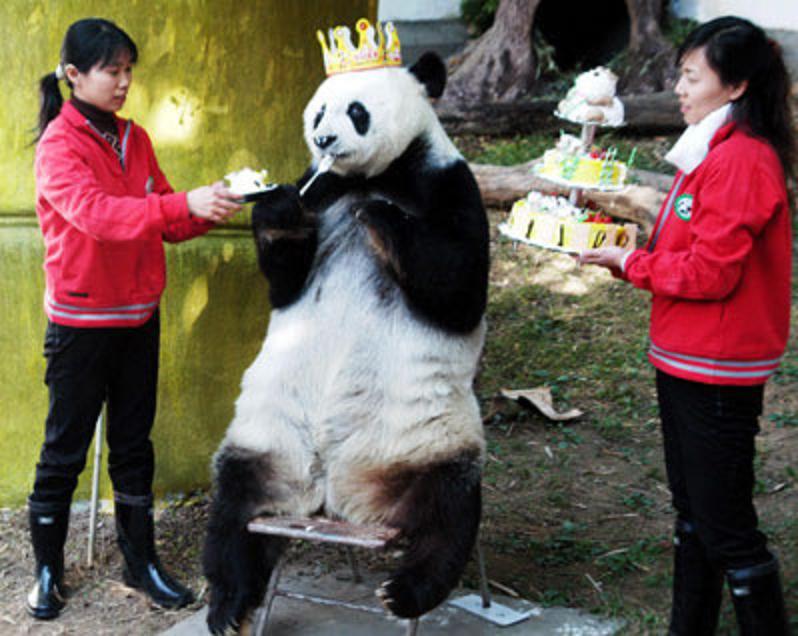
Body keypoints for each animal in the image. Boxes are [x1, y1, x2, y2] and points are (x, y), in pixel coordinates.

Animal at [203, 51, 490, 634]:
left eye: (357, 111)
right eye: (318, 112)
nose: (325, 140)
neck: (366, 178)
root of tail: (333, 497)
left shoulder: (448, 184)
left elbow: (460, 285)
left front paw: (380, 217)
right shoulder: (319, 192)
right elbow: (285, 279)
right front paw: (277, 209)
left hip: (430, 436)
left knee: (448, 510)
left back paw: (405, 592)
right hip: (266, 440)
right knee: (234, 508)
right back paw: (228, 601)